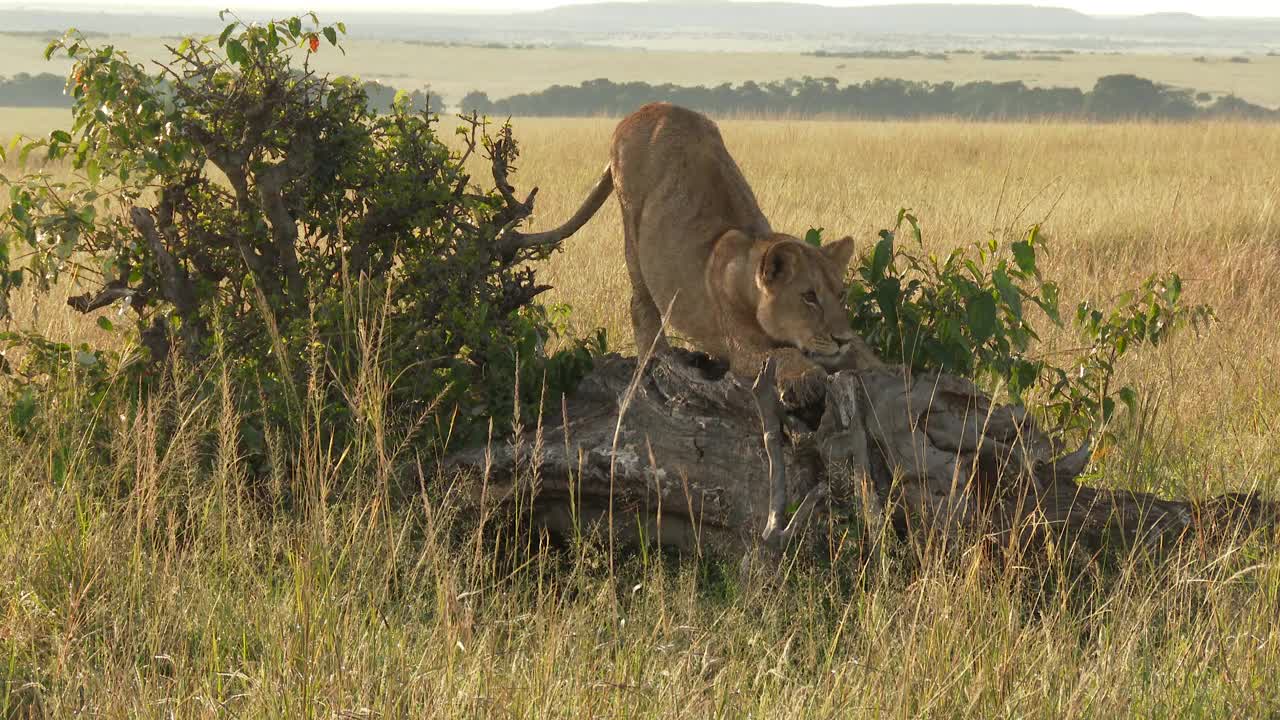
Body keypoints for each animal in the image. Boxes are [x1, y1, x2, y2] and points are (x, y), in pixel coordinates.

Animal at [529, 103, 880, 399]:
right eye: (808, 296)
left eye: (841, 295)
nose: (841, 339)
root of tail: (642, 109)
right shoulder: (742, 352)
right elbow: (785, 354)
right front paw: (807, 376)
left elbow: (862, 352)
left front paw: (872, 363)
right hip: (631, 225)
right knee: (640, 301)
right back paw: (656, 357)